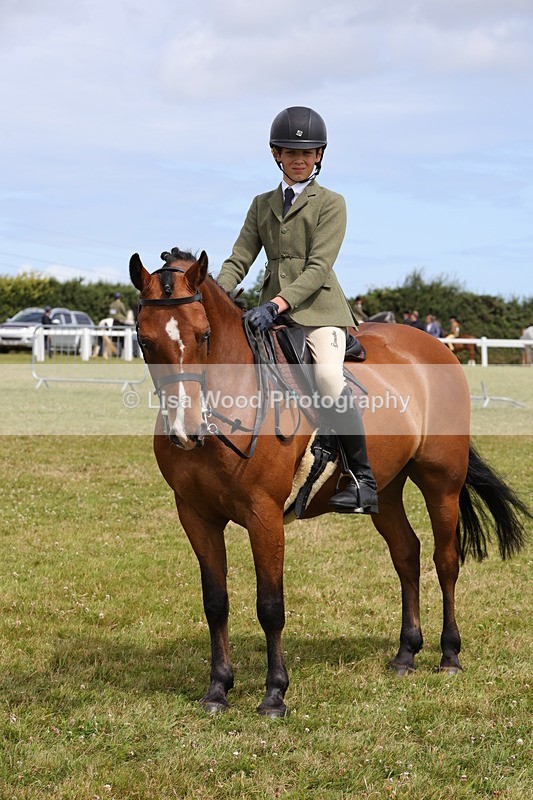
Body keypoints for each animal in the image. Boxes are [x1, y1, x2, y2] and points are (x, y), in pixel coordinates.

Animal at [129, 248, 530, 717]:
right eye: (144, 340)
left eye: (203, 335)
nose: (187, 431)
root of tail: (436, 348)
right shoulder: (195, 515)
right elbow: (216, 603)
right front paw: (217, 689)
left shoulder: (264, 516)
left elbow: (270, 606)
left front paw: (274, 694)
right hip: (385, 491)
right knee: (406, 555)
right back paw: (406, 653)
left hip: (441, 482)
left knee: (445, 560)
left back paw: (449, 655)